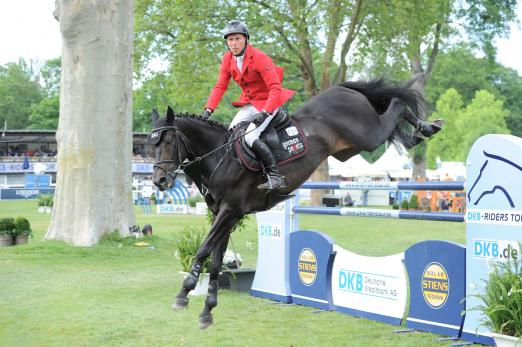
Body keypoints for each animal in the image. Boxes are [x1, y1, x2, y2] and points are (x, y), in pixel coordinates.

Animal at [148, 78, 440, 328]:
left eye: (170, 140)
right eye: (152, 145)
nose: (159, 181)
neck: (219, 156)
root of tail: (342, 89)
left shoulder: (230, 211)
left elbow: (203, 250)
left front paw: (184, 293)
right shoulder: (224, 214)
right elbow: (217, 259)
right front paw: (207, 310)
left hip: (368, 134)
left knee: (397, 104)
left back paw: (427, 127)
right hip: (351, 148)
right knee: (393, 116)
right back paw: (420, 132)